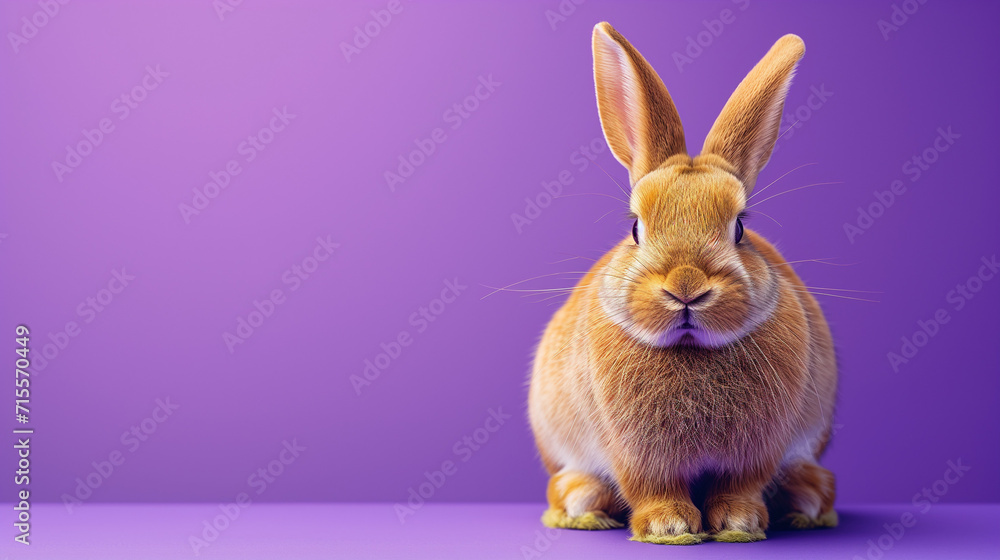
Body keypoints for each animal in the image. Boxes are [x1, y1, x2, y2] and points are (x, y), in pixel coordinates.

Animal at [527, 22, 838, 545]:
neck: (690, 350)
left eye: (740, 228)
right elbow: (651, 484)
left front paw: (738, 524)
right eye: (636, 228)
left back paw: (808, 499)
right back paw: (581, 501)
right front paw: (668, 526)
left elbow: (739, 486)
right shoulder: (635, 450)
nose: (686, 286)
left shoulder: (753, 452)